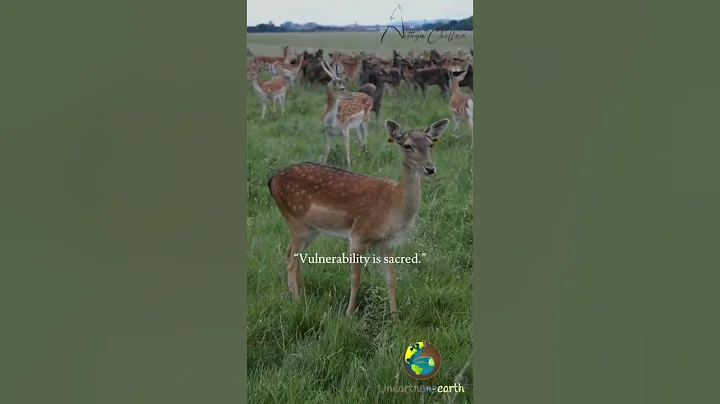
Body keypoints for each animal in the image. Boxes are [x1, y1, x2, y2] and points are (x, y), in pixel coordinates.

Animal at [266, 117, 451, 321]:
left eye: (431, 144)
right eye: (407, 145)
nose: (430, 168)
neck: (393, 206)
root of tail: (272, 180)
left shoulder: (388, 243)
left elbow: (391, 279)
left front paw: (396, 318)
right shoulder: (358, 235)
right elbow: (356, 278)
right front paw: (349, 313)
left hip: (311, 229)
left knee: (291, 253)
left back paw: (304, 291)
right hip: (295, 220)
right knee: (291, 259)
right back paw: (297, 301)